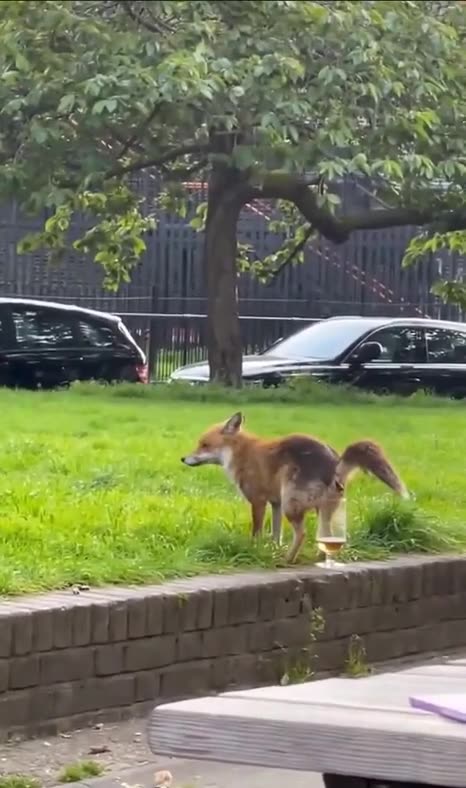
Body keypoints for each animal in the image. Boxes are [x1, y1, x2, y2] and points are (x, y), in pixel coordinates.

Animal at [181, 412, 410, 563]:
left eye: (204, 445)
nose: (183, 459)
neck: (240, 454)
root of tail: (335, 462)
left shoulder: (258, 501)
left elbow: (257, 532)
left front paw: (255, 551)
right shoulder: (275, 503)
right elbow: (276, 534)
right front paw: (272, 550)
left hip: (292, 504)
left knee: (302, 534)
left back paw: (288, 559)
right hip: (319, 509)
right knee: (325, 535)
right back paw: (318, 556)